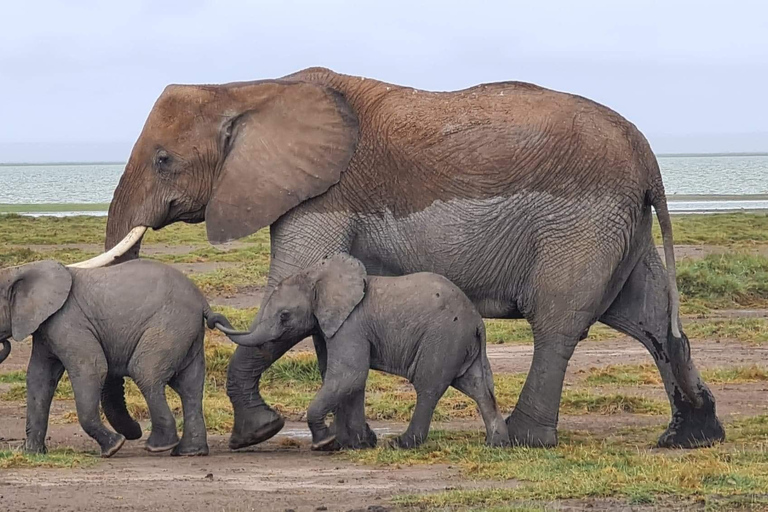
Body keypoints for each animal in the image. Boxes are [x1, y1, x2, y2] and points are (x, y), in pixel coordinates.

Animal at [0, 260, 222, 456]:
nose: (4, 343)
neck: (21, 269)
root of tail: (202, 300)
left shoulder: (68, 321)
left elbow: (91, 369)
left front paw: (113, 448)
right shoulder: (45, 329)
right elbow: (39, 378)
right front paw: (31, 453)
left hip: (170, 326)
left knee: (145, 372)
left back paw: (158, 447)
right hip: (186, 332)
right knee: (189, 386)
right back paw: (190, 452)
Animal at [222, 254, 510, 450]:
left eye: (284, 316)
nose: (216, 319)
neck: (317, 276)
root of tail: (477, 321)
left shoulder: (350, 325)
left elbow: (349, 375)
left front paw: (325, 442)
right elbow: (350, 381)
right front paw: (360, 443)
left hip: (443, 338)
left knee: (428, 387)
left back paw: (401, 444)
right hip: (461, 343)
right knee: (478, 387)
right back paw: (496, 443)